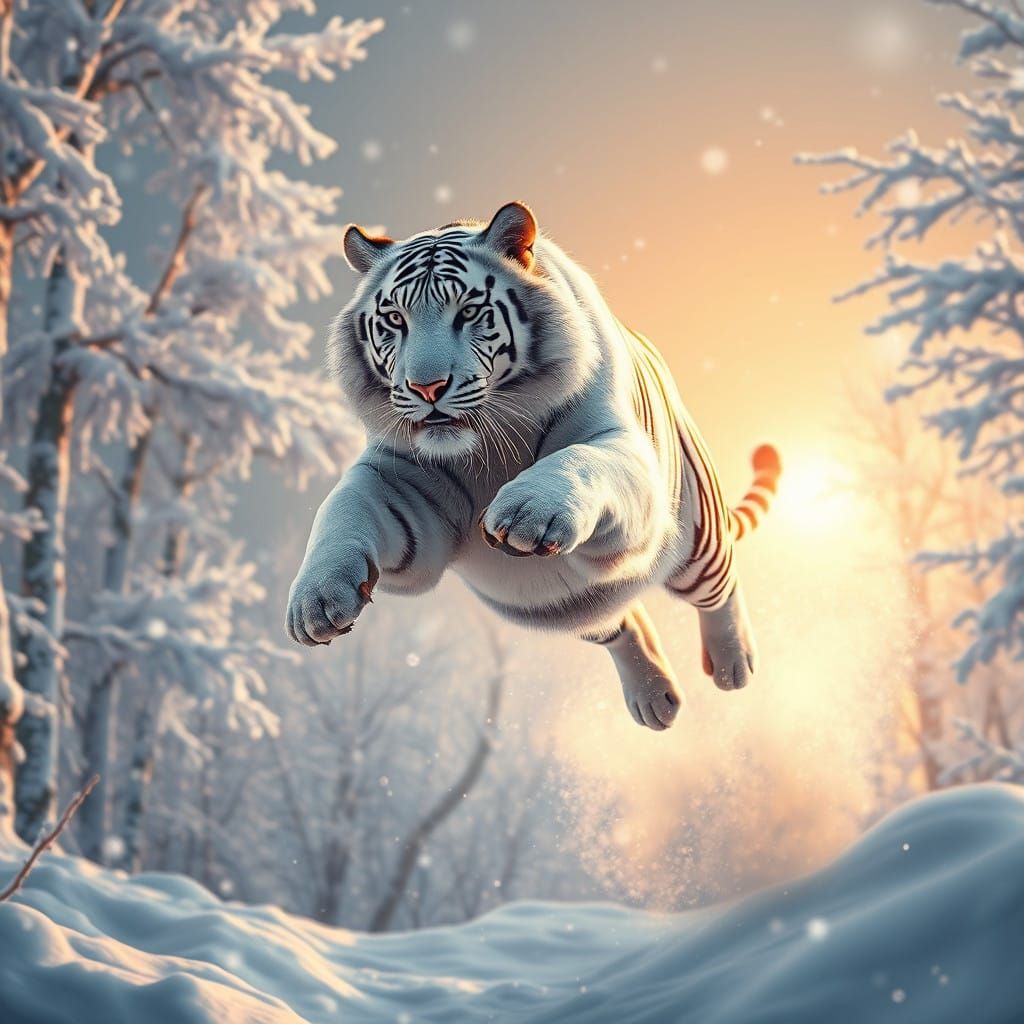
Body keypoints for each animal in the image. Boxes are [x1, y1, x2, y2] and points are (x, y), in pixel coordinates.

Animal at [285, 201, 781, 731]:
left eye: (469, 312)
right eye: (395, 319)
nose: (426, 387)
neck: (487, 448)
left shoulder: (622, 449)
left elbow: (581, 460)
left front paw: (527, 512)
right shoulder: (397, 487)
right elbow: (341, 507)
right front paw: (316, 601)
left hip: (696, 541)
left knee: (718, 588)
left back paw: (732, 665)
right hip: (577, 609)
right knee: (620, 622)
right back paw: (653, 699)